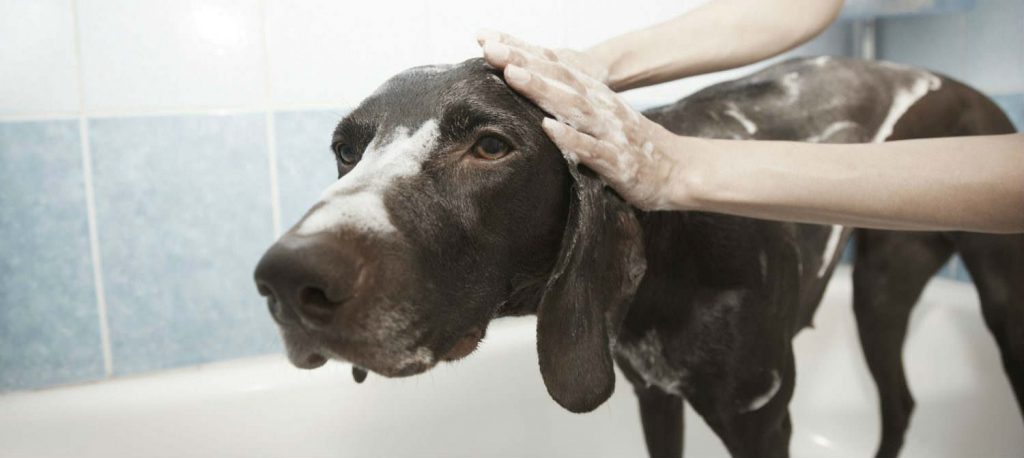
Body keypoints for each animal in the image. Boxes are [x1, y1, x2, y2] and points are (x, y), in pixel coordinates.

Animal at [251, 57, 1019, 458]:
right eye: (346, 150)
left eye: (491, 146)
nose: (286, 280)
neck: (674, 259)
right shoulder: (654, 397)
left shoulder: (763, 421)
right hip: (880, 294)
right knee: (900, 400)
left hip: (985, 305)